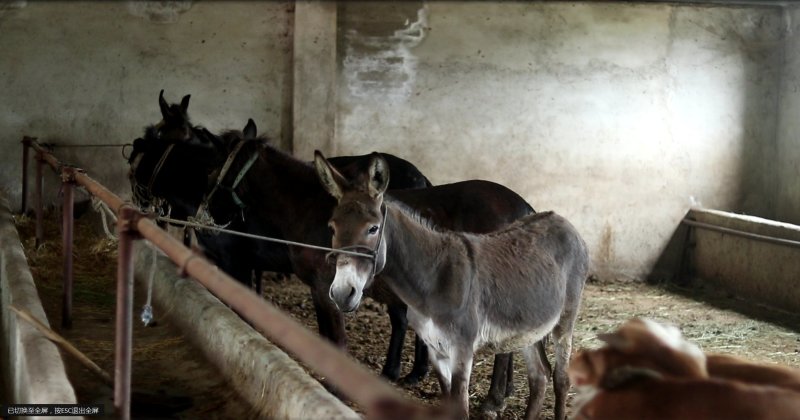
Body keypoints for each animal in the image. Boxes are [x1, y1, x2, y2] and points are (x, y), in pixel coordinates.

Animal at [314, 152, 589, 419]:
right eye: (332, 227)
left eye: (373, 229)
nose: (341, 293)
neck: (434, 278)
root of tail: (559, 218)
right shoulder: (437, 352)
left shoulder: (462, 351)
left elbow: (461, 407)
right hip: (529, 325)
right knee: (539, 375)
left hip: (565, 319)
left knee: (561, 379)